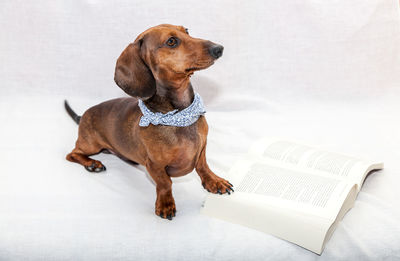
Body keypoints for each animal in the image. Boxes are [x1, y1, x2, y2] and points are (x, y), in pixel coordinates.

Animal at [65, 24, 234, 219]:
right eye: (171, 41)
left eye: (187, 31)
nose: (219, 49)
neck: (179, 116)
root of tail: (82, 115)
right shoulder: (153, 165)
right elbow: (165, 183)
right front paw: (166, 203)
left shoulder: (202, 147)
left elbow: (203, 166)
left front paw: (214, 182)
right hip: (90, 145)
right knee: (72, 154)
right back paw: (92, 164)